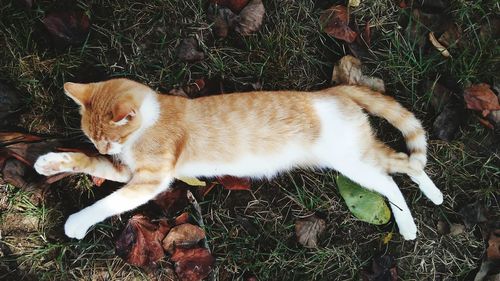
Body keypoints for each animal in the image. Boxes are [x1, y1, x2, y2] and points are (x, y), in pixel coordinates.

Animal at [33, 78, 444, 238]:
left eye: (109, 137)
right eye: (94, 139)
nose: (107, 149)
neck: (152, 116)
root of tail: (334, 90)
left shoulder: (150, 178)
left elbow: (108, 203)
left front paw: (77, 222)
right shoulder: (126, 170)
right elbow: (86, 162)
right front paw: (51, 162)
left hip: (352, 160)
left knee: (401, 169)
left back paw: (421, 210)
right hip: (356, 158)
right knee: (395, 166)